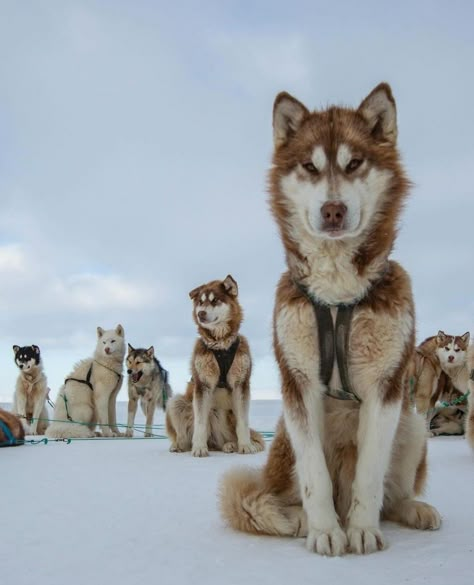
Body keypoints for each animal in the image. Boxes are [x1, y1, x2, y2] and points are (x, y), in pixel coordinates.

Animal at [166, 276, 262, 458]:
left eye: (215, 300)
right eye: (200, 302)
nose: (200, 313)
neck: (221, 346)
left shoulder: (241, 384)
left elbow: (243, 422)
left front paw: (245, 445)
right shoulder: (202, 384)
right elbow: (200, 423)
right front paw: (198, 448)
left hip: (227, 415)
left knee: (229, 436)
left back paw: (231, 445)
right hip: (176, 403)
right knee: (184, 434)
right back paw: (180, 445)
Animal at [218, 84, 440, 556]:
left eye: (354, 163)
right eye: (309, 166)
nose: (333, 210)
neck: (338, 295)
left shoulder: (386, 388)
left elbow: (370, 476)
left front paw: (361, 529)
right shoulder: (299, 385)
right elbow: (314, 476)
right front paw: (324, 530)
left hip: (413, 425)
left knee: (391, 494)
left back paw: (412, 509)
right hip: (285, 438)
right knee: (287, 492)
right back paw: (300, 519)